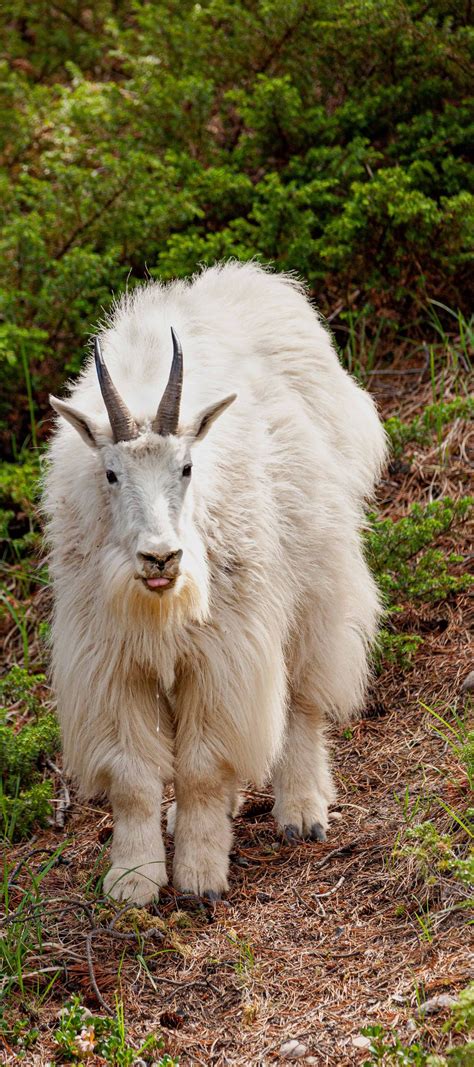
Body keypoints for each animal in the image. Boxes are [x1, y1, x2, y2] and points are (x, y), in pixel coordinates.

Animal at [43, 262, 384, 904]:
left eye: (186, 467)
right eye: (110, 474)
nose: (161, 559)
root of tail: (258, 283)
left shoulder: (224, 650)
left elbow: (203, 766)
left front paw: (200, 877)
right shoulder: (116, 665)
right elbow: (134, 777)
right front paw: (133, 881)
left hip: (314, 588)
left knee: (301, 701)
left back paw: (302, 811)